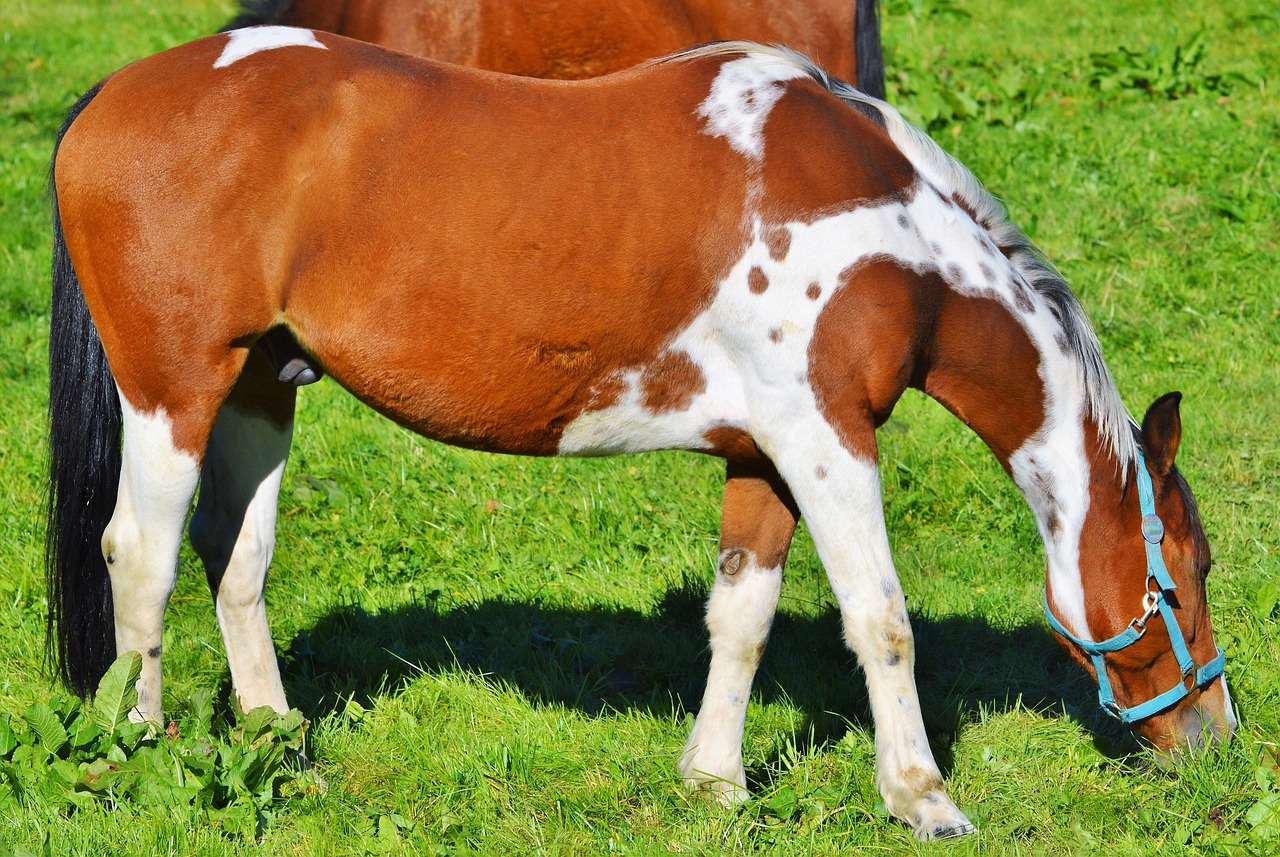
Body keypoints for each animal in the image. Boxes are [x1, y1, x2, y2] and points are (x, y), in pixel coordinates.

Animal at [47, 31, 1228, 839]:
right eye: (1185, 572)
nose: (1212, 739)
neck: (890, 236)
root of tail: (110, 95)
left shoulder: (763, 453)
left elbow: (741, 616)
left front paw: (714, 778)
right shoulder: (827, 440)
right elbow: (881, 620)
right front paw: (921, 796)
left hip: (263, 384)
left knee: (235, 558)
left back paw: (277, 747)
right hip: (174, 390)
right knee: (140, 559)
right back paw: (138, 751)